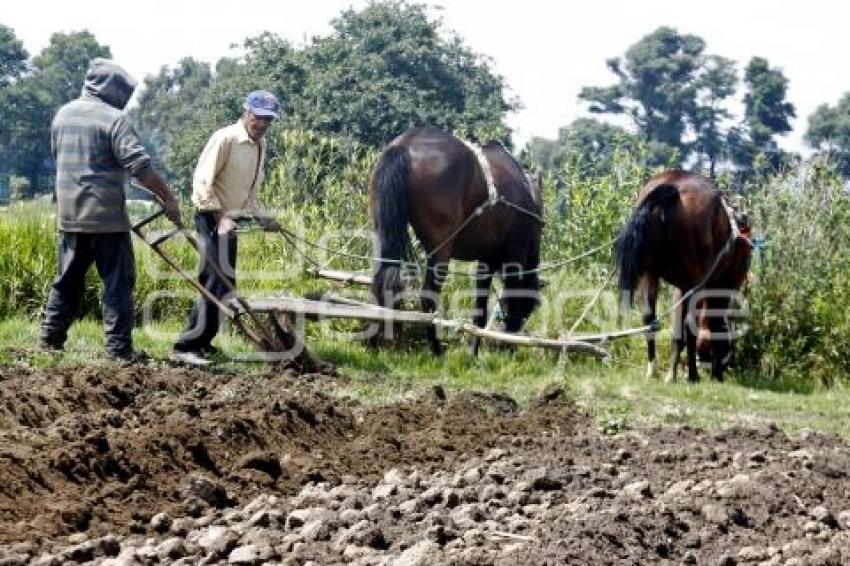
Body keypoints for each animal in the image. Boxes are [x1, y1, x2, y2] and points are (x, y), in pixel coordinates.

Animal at [372, 127, 544, 356]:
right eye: (528, 307)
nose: (508, 346)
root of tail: (404, 145)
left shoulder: (486, 262)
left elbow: (479, 313)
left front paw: (472, 354)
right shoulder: (514, 258)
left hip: (382, 233)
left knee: (380, 282)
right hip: (440, 250)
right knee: (428, 297)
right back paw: (437, 351)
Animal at [616, 169, 748, 382]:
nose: (720, 372)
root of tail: (671, 186)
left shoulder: (681, 287)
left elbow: (677, 331)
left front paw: (673, 371)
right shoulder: (721, 284)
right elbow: (701, 325)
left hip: (650, 273)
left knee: (649, 318)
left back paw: (652, 369)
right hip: (695, 281)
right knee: (690, 324)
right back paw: (692, 375)